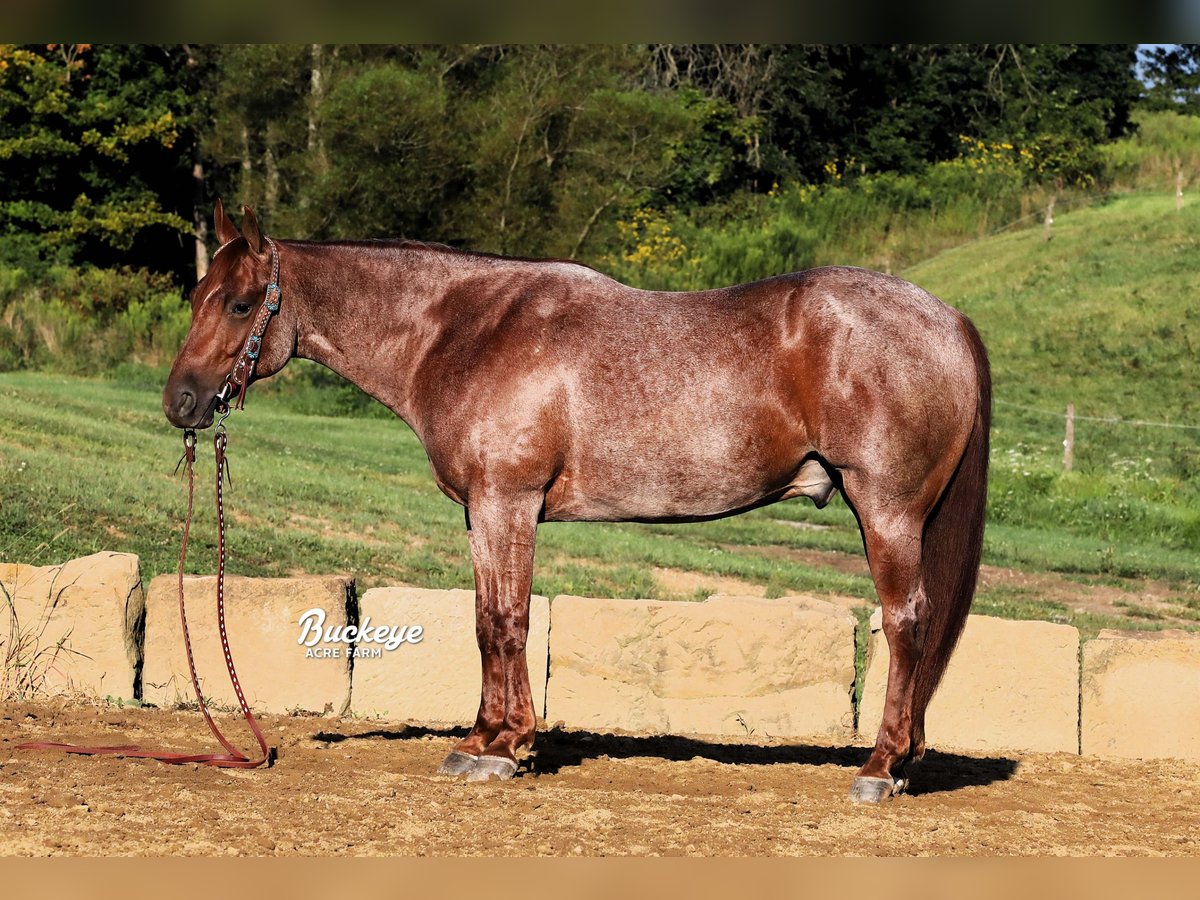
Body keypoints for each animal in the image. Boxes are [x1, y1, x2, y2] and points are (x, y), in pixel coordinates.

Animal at [164, 202, 988, 801]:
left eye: (241, 304)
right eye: (198, 295)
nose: (181, 403)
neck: (463, 333)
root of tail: (948, 319)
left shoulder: (510, 502)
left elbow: (509, 620)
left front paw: (507, 748)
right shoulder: (481, 510)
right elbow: (485, 621)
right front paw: (481, 741)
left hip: (886, 512)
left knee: (907, 623)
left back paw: (879, 769)